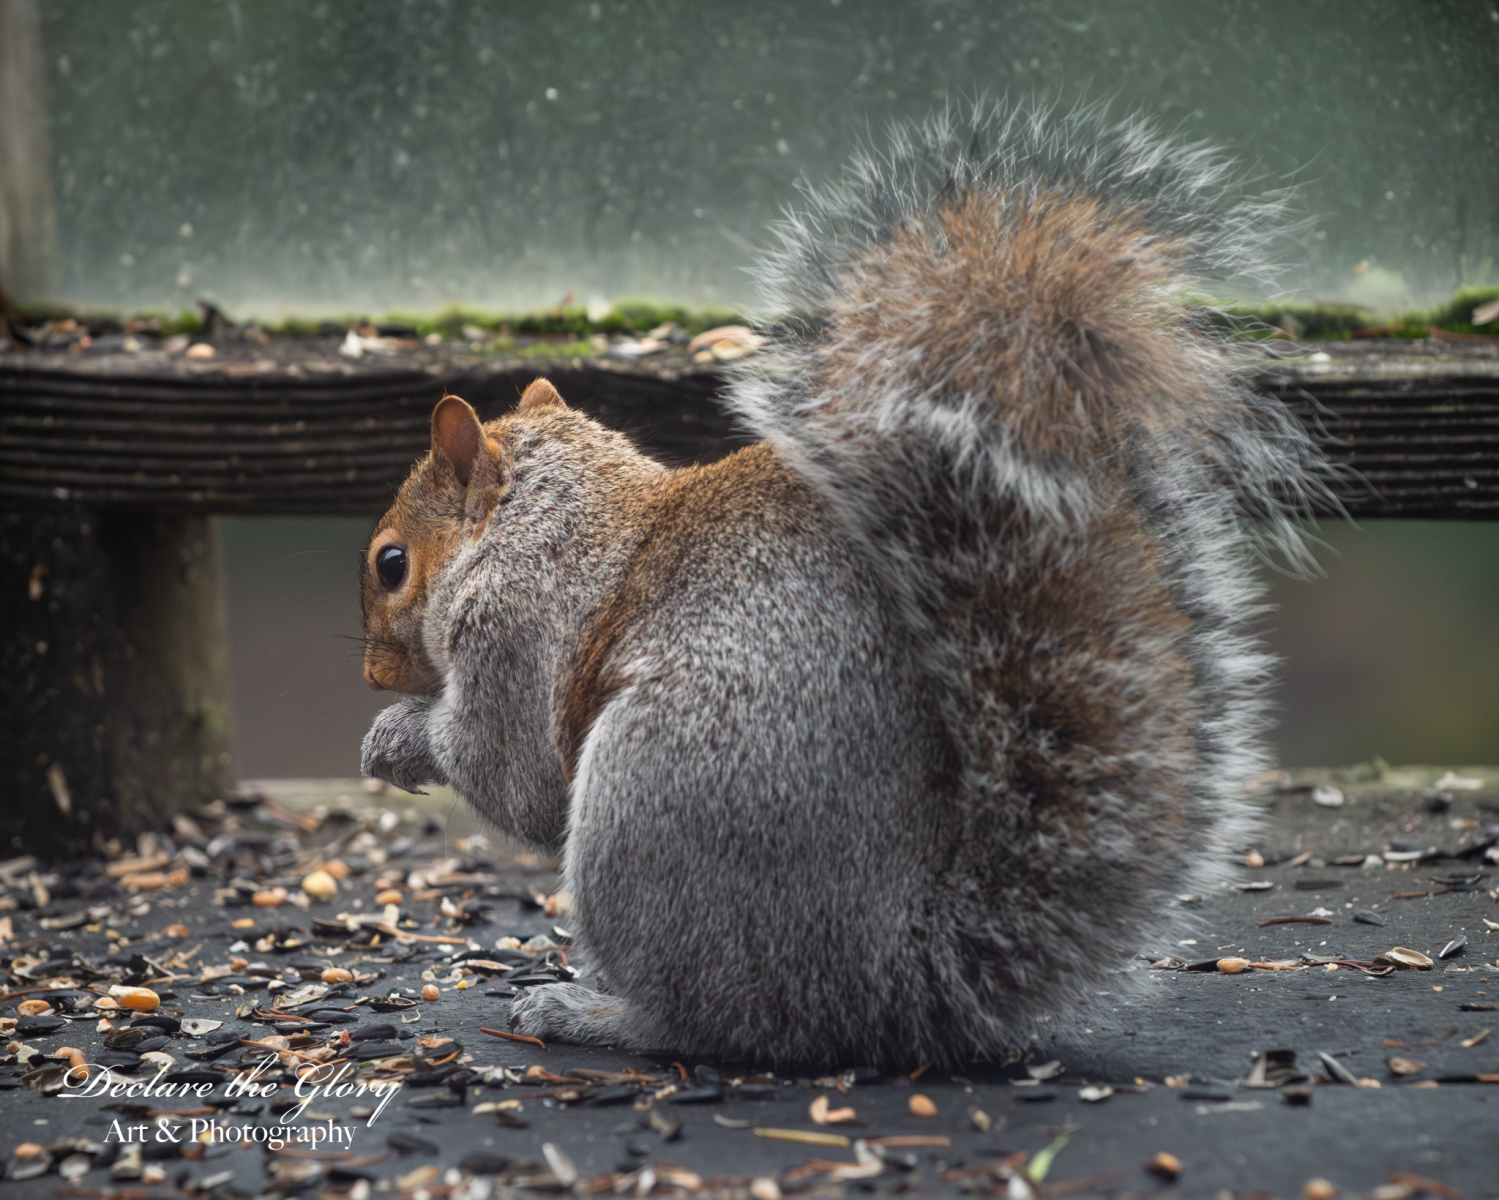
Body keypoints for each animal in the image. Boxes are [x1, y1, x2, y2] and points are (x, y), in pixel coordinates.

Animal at [359, 101, 1330, 1069]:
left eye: (390, 563)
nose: (371, 675)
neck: (549, 512)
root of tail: (897, 981)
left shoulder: (512, 627)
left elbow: (509, 773)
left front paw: (397, 739)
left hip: (654, 803)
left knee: (717, 1021)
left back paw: (594, 1013)